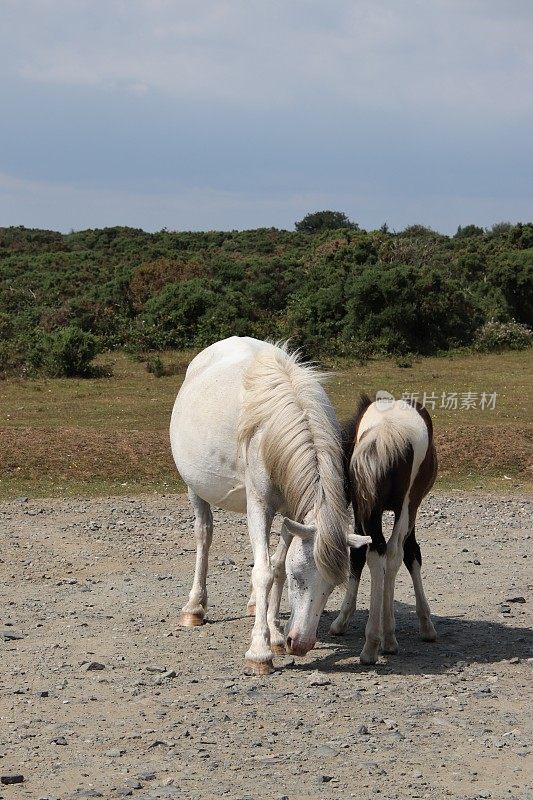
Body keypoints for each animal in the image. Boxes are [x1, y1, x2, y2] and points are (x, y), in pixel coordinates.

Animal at [170, 338, 370, 676]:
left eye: (332, 587)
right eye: (299, 578)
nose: (300, 644)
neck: (275, 429)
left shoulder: (291, 511)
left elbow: (275, 567)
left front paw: (274, 635)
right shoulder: (261, 505)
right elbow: (264, 572)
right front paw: (260, 652)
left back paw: (255, 607)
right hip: (195, 488)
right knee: (204, 536)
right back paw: (194, 608)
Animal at [330, 394, 438, 664]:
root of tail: (386, 432)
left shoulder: (365, 508)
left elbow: (361, 555)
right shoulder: (409, 511)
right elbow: (411, 554)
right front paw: (425, 624)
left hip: (370, 508)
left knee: (376, 552)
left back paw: (373, 642)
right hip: (407, 506)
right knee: (392, 552)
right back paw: (383, 639)